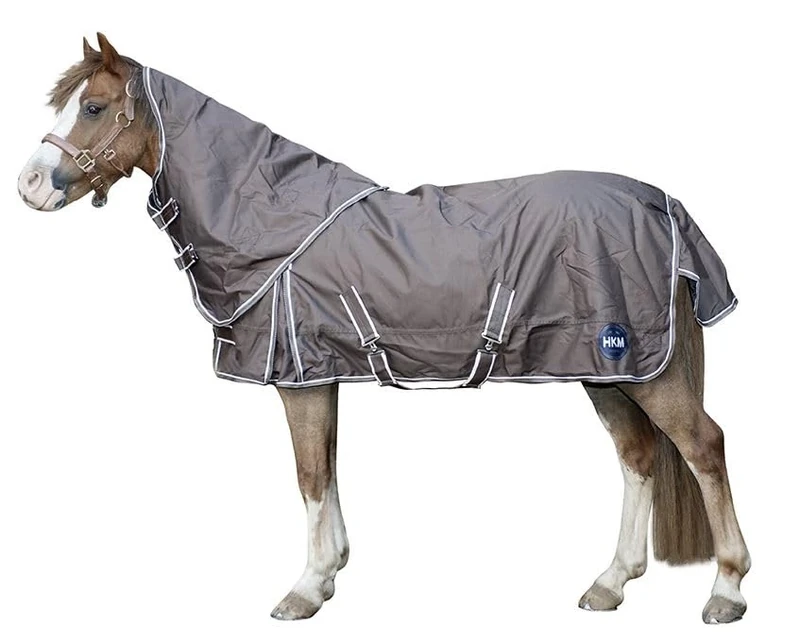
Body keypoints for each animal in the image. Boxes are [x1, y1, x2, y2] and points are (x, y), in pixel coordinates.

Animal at [17, 34, 750, 624]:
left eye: (92, 107)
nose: (29, 185)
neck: (273, 223)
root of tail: (659, 202)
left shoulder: (299, 379)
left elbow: (310, 474)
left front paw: (304, 590)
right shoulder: (319, 373)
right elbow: (328, 465)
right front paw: (332, 570)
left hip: (641, 369)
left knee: (703, 447)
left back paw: (727, 591)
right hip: (608, 368)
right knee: (638, 456)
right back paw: (610, 583)